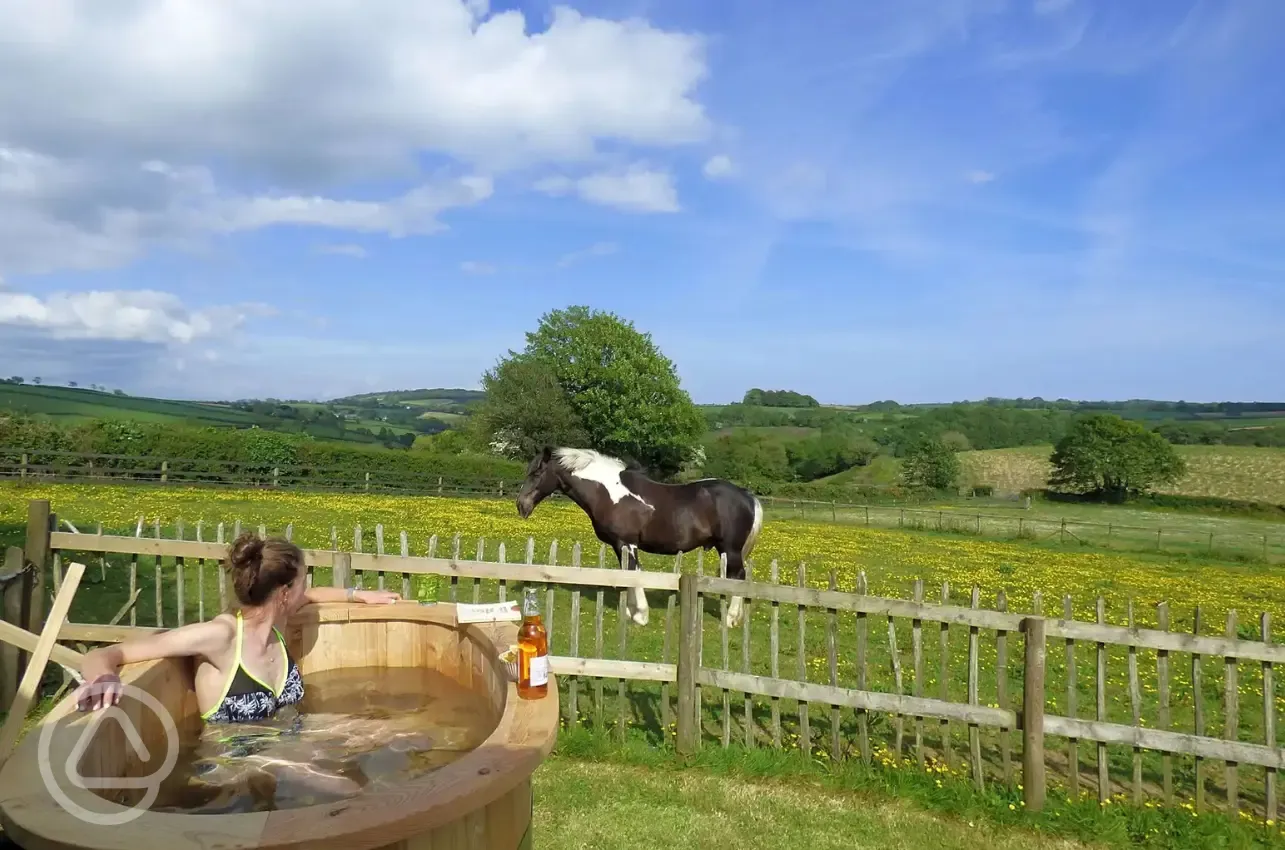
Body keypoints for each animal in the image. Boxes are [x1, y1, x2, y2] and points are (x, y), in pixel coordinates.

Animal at [514, 447, 760, 627]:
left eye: (536, 473)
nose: (521, 505)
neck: (608, 493)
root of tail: (746, 495)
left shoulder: (628, 543)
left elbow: (634, 573)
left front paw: (641, 615)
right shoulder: (618, 546)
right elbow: (627, 574)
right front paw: (631, 612)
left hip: (730, 549)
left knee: (739, 576)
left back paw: (731, 619)